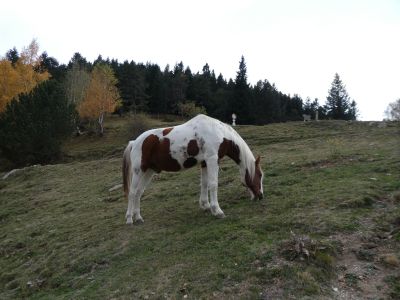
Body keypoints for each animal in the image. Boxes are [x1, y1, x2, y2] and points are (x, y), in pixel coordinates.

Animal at [123, 113, 264, 224]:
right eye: (260, 175)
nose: (260, 196)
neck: (218, 132)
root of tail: (134, 142)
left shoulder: (205, 163)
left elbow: (204, 184)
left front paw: (206, 206)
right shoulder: (212, 160)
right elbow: (213, 184)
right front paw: (217, 211)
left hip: (149, 171)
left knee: (139, 192)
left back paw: (138, 217)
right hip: (138, 171)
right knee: (132, 192)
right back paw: (129, 219)